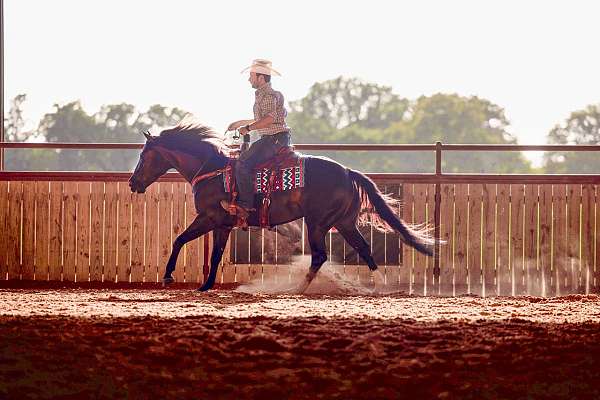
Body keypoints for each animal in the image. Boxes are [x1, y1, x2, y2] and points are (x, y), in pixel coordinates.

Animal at [129, 120, 434, 292]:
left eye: (144, 156)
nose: (133, 183)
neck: (212, 170)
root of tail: (348, 172)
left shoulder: (209, 218)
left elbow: (179, 240)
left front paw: (168, 277)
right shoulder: (223, 225)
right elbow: (214, 256)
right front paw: (205, 286)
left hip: (317, 223)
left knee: (320, 256)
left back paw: (297, 288)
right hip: (343, 222)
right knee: (363, 248)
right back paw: (380, 285)